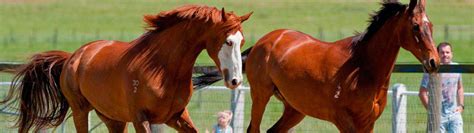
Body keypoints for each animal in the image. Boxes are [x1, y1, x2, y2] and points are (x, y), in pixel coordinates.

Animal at [0, 4, 252, 132]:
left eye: (242, 41)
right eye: (228, 41)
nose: (235, 81)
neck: (161, 67)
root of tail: (73, 56)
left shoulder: (176, 116)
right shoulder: (142, 119)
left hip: (114, 118)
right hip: (81, 110)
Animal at [246, 0, 438, 132]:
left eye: (431, 25)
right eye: (415, 26)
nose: (433, 61)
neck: (360, 68)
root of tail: (263, 41)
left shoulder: (368, 122)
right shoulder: (343, 120)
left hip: (295, 109)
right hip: (260, 96)